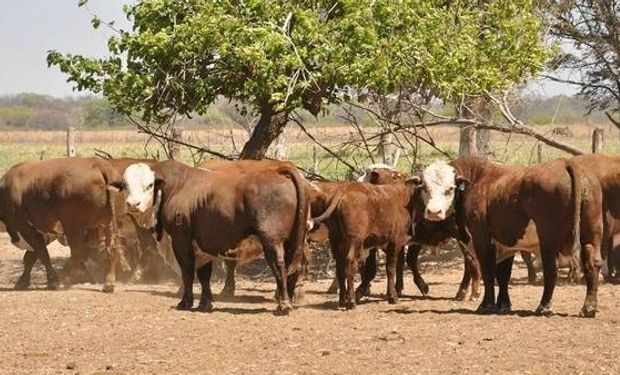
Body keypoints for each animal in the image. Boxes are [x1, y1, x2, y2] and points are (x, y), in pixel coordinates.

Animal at [0, 157, 124, 292]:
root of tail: (100, 165)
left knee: (78, 251)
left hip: (73, 227)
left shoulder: (26, 227)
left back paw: (66, 279)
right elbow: (32, 255)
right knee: (111, 248)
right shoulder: (44, 232)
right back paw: (109, 283)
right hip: (108, 224)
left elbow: (41, 253)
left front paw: (53, 280)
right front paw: (23, 281)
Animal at [120, 160, 308, 316]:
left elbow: (187, 272)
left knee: (279, 265)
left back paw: (284, 304)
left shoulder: (181, 240)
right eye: (126, 184)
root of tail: (279, 171)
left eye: (149, 185)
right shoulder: (203, 244)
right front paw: (205, 303)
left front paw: (185, 302)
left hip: (271, 240)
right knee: (293, 266)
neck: (176, 187)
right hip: (292, 241)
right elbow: (204, 275)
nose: (133, 204)